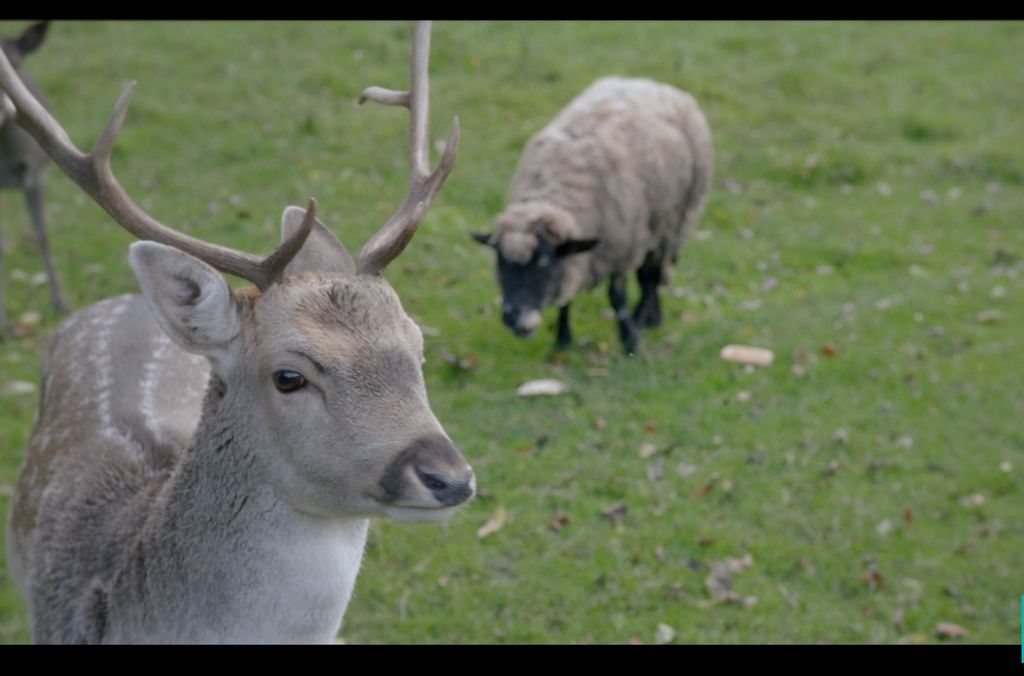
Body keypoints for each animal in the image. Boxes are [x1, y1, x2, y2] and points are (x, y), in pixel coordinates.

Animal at [473, 75, 712, 354]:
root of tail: (650, 83)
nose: (513, 317)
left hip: (675, 220)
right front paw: (563, 340)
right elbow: (566, 298)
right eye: (501, 261)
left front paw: (630, 341)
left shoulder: (622, 247)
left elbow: (617, 297)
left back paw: (644, 317)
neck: (557, 186)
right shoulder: (575, 256)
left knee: (650, 274)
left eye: (543, 261)